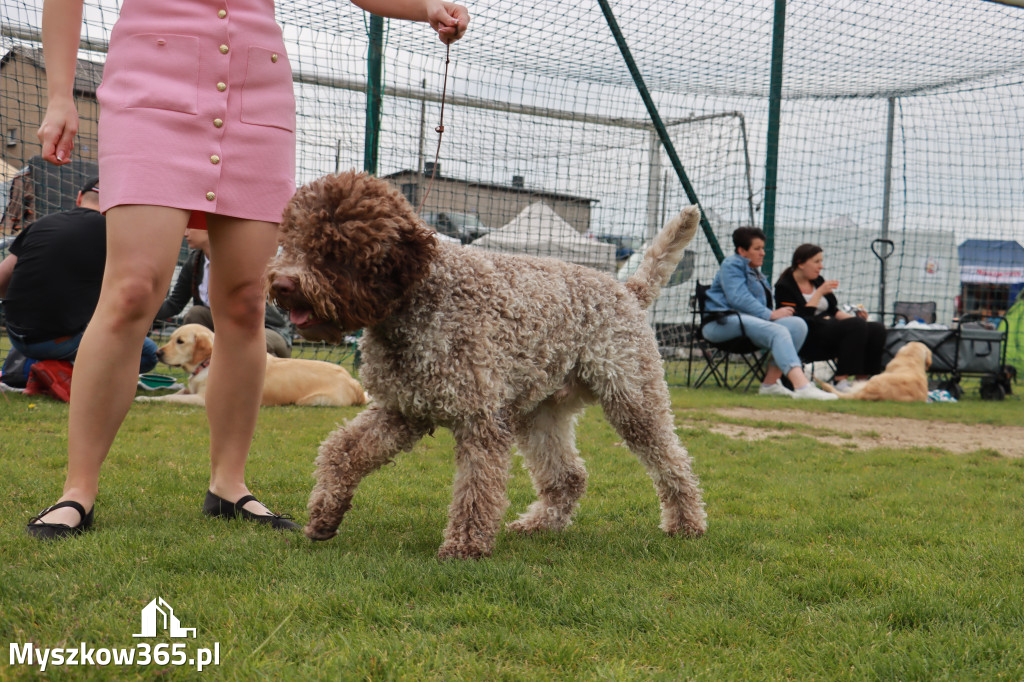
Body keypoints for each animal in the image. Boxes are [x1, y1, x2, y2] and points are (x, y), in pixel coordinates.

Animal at [268, 169, 708, 557]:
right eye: (292, 239)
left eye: (334, 250)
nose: (282, 285)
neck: (422, 299)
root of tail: (625, 289)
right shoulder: (401, 409)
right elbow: (341, 450)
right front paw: (325, 514)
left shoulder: (480, 419)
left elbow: (476, 488)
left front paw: (465, 546)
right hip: (538, 411)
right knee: (569, 476)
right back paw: (539, 524)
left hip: (633, 397)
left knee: (674, 462)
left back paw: (687, 523)